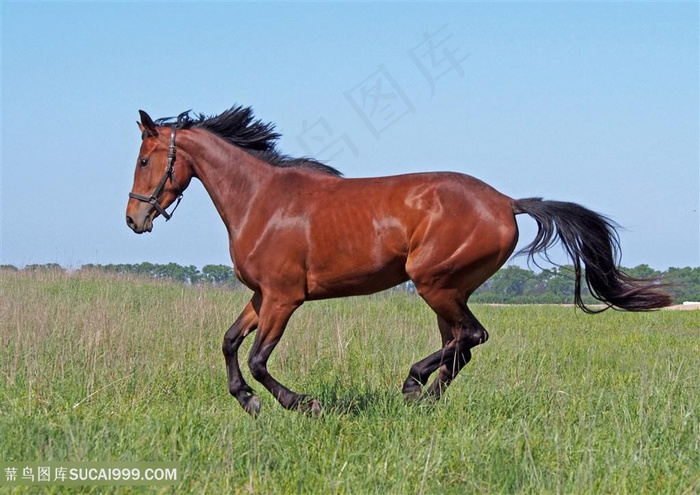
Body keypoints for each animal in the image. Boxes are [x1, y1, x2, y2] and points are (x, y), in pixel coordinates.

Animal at [127, 106, 672, 416]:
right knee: (461, 345)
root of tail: (505, 202)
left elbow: (260, 360)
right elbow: (228, 343)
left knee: (470, 337)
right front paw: (248, 401)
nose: (134, 219)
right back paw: (425, 397)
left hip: (433, 282)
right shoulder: (262, 297)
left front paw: (301, 404)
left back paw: (414, 386)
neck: (262, 200)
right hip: (447, 290)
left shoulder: (284, 299)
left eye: (144, 159)